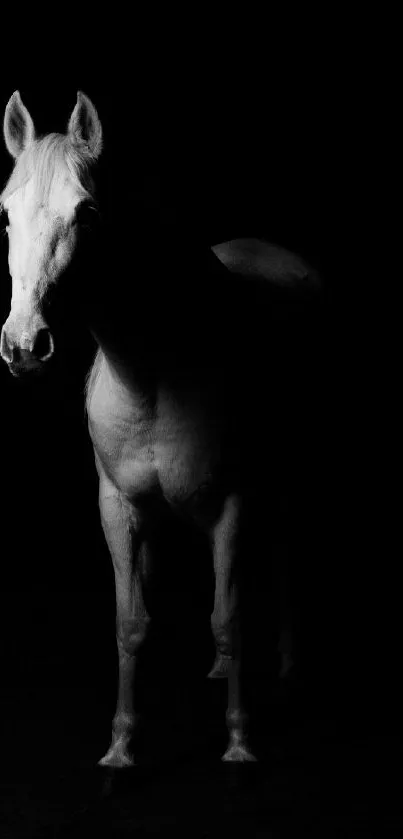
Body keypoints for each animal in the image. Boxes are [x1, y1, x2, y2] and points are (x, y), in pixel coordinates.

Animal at [0, 92, 322, 768]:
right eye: (6, 214)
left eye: (87, 210)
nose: (24, 345)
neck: (153, 373)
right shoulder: (118, 506)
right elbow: (131, 622)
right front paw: (121, 745)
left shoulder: (233, 503)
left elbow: (229, 617)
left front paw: (238, 742)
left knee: (282, 554)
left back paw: (285, 666)